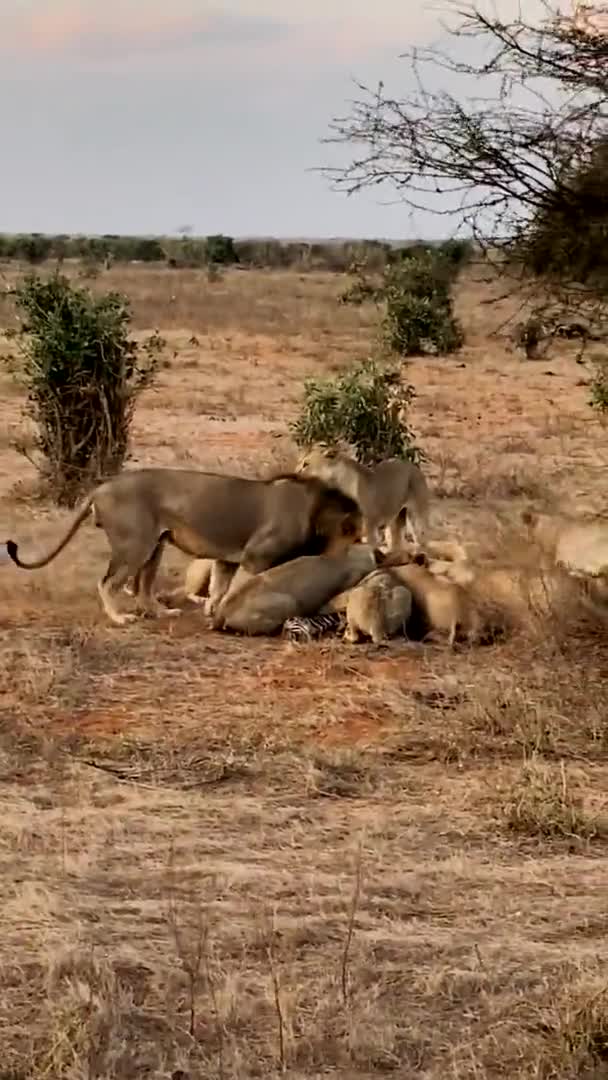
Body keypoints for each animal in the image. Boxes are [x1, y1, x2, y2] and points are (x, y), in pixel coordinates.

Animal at [295, 444, 429, 548]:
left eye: (306, 464)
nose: (295, 472)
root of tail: (412, 465)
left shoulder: (370, 526)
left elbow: (372, 546)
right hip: (395, 516)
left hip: (417, 512)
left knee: (421, 534)